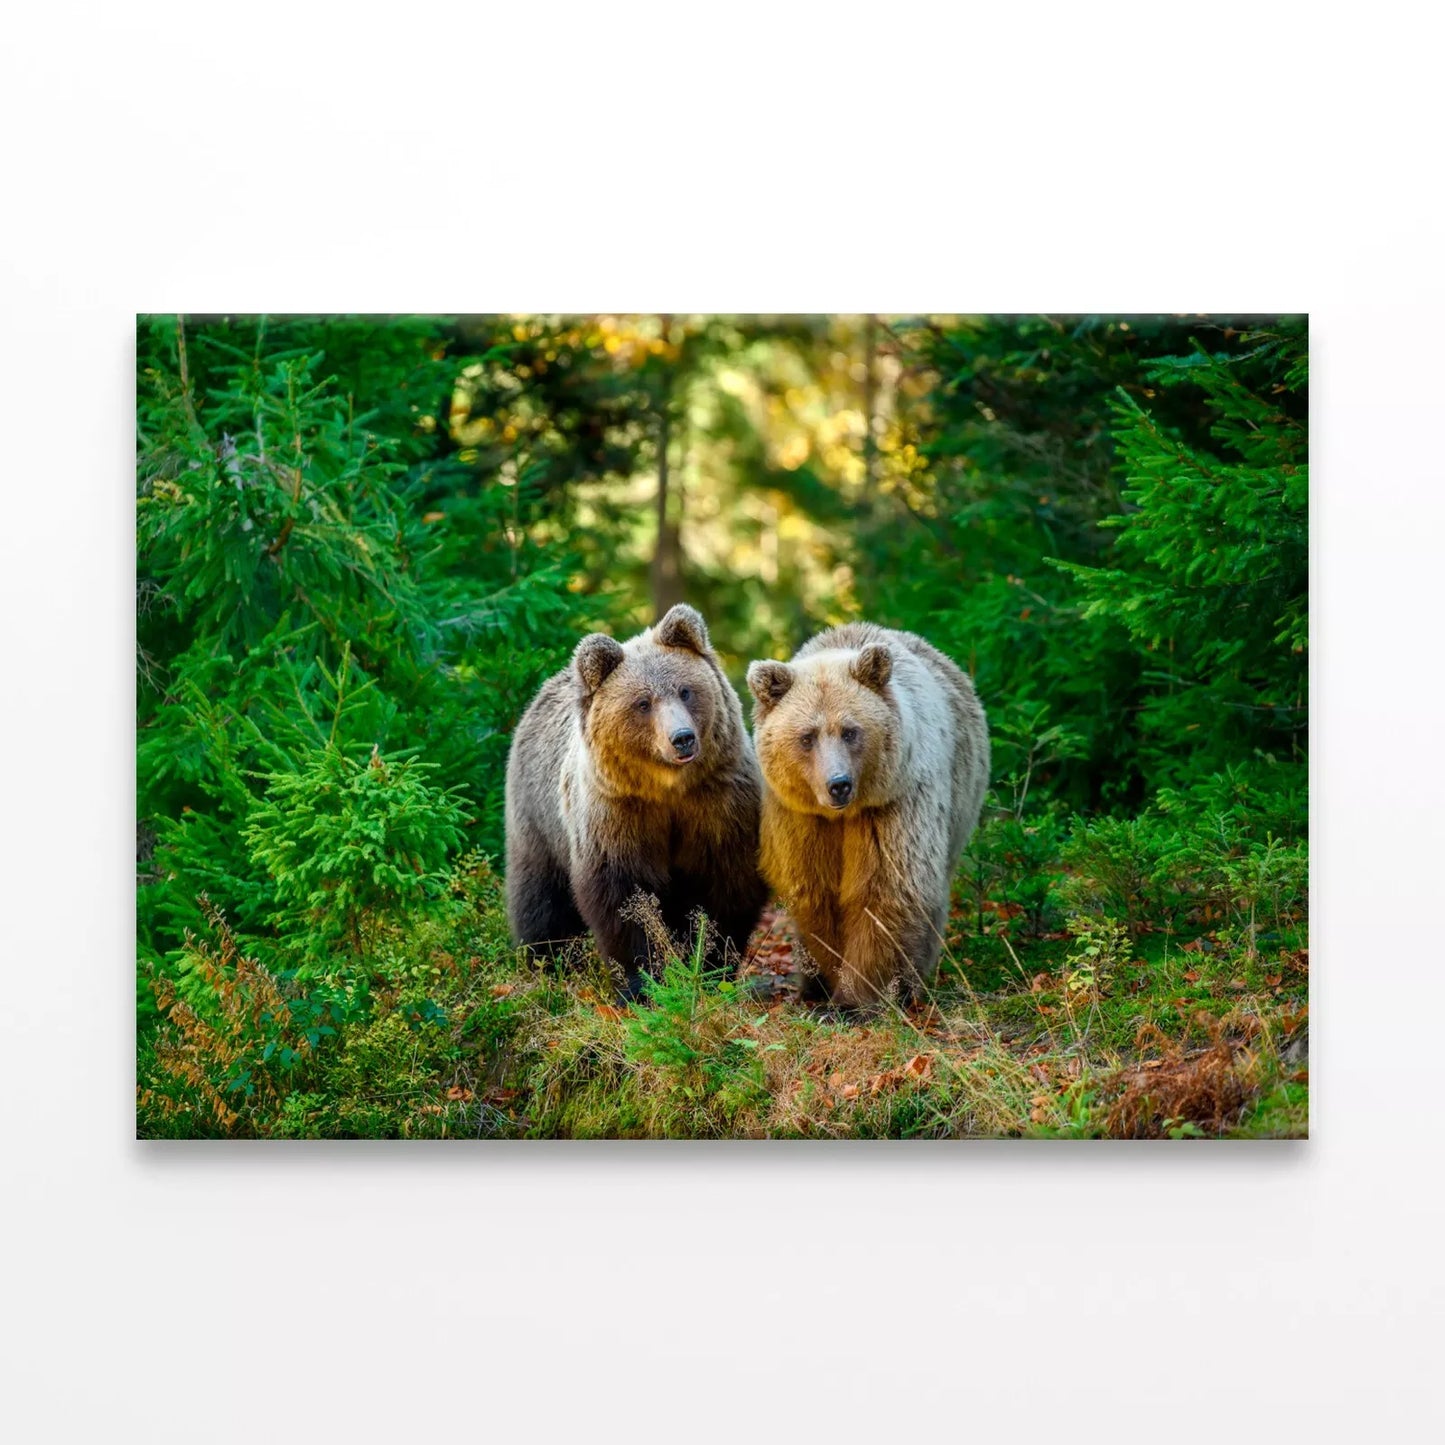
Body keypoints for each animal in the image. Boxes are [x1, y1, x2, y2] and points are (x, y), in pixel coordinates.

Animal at [505, 603, 768, 1000]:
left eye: (685, 691)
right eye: (643, 703)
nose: (682, 738)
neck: (668, 790)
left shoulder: (717, 803)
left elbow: (725, 885)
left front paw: (710, 965)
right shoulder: (618, 814)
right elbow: (625, 899)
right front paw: (644, 982)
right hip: (538, 818)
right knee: (541, 897)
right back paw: (547, 962)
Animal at [746, 622, 989, 1010]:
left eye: (850, 731)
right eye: (807, 736)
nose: (838, 785)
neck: (843, 815)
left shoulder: (893, 807)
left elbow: (885, 891)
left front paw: (854, 1000)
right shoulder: (800, 818)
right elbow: (817, 892)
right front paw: (827, 982)